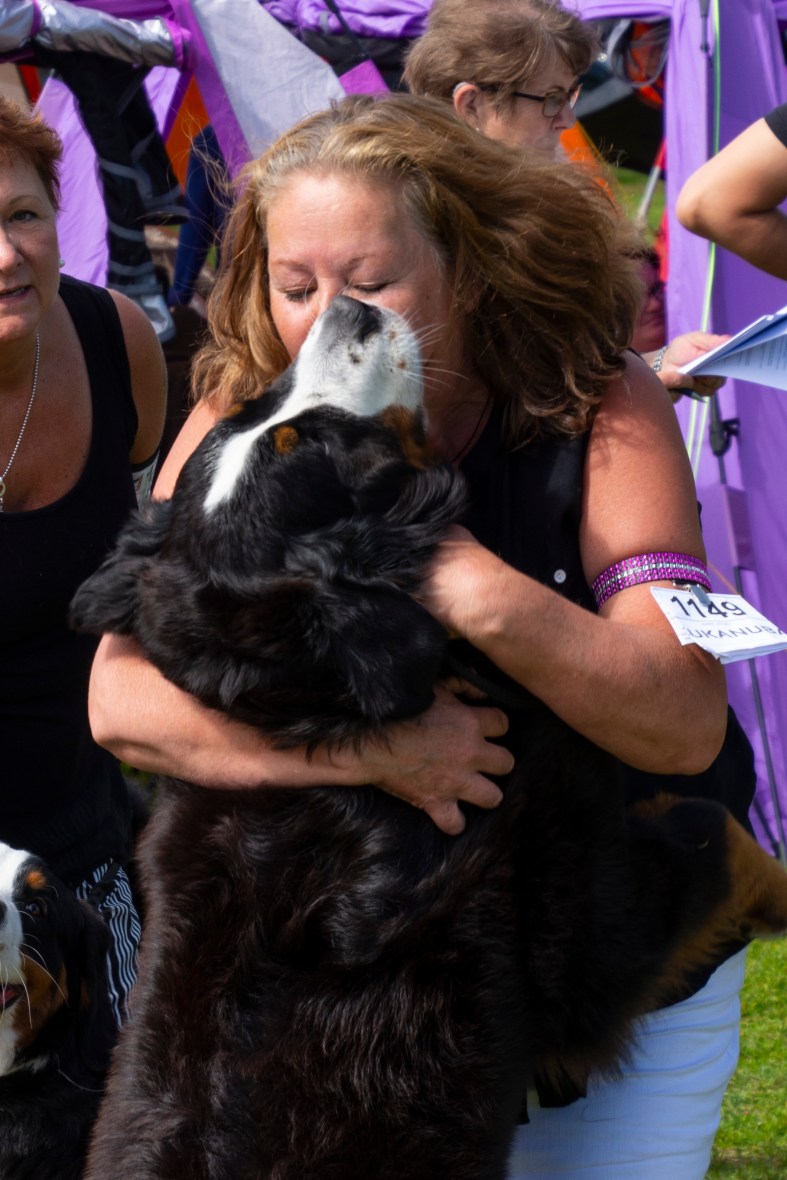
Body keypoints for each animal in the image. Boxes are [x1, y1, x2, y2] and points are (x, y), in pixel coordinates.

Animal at [71, 296, 787, 1179]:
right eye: (310, 441)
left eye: (260, 414)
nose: (347, 306)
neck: (319, 708)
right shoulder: (583, 915)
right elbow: (714, 835)